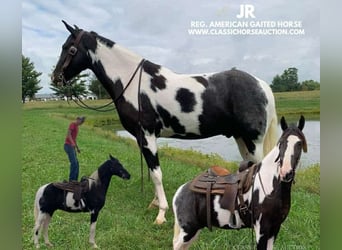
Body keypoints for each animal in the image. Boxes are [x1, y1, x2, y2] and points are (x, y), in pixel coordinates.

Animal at [52, 21, 278, 225]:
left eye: (69, 47)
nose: (55, 77)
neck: (132, 83)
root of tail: (261, 85)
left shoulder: (148, 135)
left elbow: (156, 174)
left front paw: (161, 213)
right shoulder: (143, 138)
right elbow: (152, 172)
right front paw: (154, 203)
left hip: (252, 141)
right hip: (242, 139)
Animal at [172, 116, 308, 249]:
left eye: (299, 144)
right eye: (281, 144)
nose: (286, 172)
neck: (270, 186)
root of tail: (180, 191)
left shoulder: (274, 229)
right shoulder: (262, 230)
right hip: (188, 231)